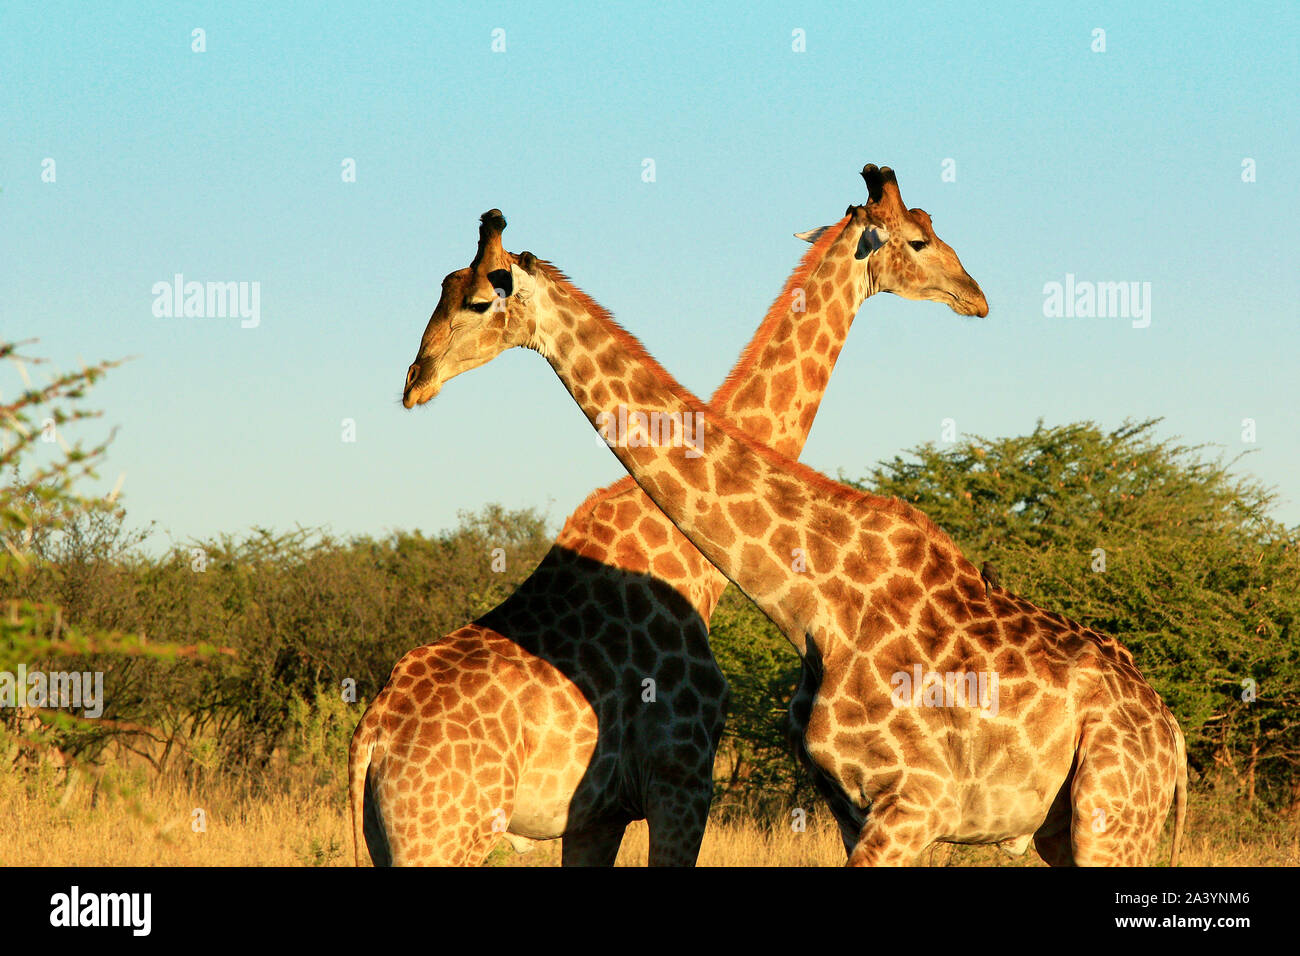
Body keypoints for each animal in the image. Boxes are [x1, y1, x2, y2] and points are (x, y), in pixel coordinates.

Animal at [351, 164, 987, 868]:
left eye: (467, 295)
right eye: (921, 241)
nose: (975, 295)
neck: (691, 562)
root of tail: (370, 736)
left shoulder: (596, 814)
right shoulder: (682, 777)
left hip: (388, 841)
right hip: (442, 837)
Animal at [403, 187, 1190, 868]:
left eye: (478, 299)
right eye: (447, 292)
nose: (415, 379)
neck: (814, 603)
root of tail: (1172, 734)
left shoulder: (914, 804)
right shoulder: (850, 805)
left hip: (1107, 816)